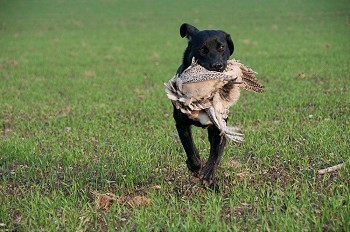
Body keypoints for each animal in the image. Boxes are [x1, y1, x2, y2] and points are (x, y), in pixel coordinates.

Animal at [173, 22, 234, 188]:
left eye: (221, 47)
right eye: (202, 49)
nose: (218, 65)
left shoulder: (219, 129)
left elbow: (215, 155)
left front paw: (208, 176)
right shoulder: (181, 124)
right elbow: (190, 149)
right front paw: (194, 167)